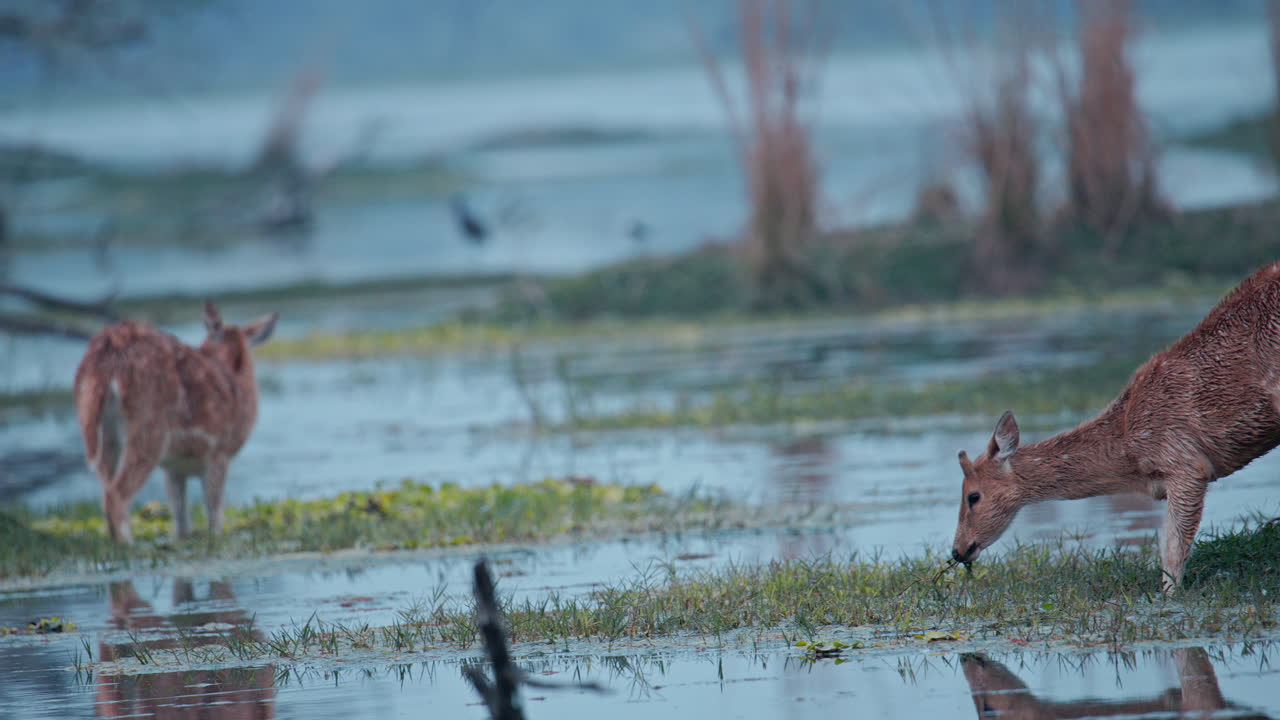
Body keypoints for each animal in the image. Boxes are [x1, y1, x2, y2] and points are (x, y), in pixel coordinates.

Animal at [74, 302, 277, 543]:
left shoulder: (174, 466)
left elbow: (180, 517)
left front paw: (181, 538)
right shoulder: (219, 452)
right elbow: (214, 511)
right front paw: (216, 536)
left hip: (100, 428)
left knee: (105, 487)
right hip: (149, 427)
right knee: (117, 492)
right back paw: (129, 543)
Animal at [951, 260, 1280, 592]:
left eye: (973, 496)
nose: (958, 550)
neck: (1130, 456)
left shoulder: (1185, 460)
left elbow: (1171, 548)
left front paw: (1168, 594)